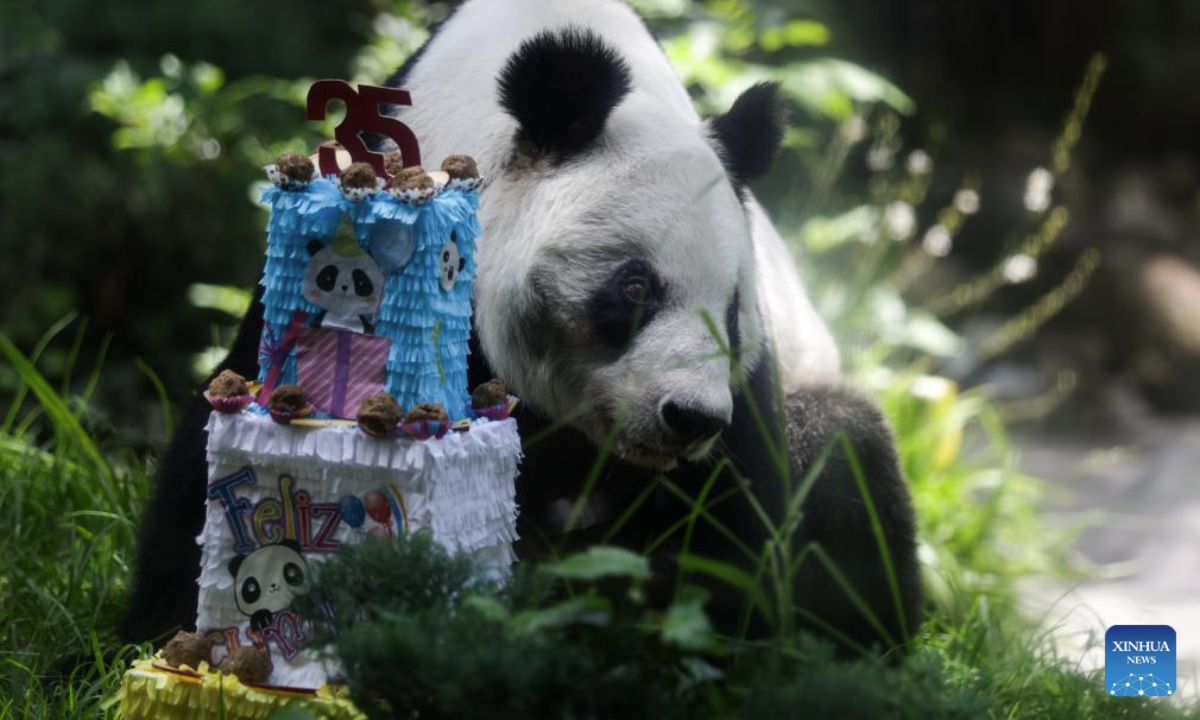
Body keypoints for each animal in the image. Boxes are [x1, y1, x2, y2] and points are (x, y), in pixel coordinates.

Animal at [122, 0, 921, 654]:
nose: (690, 418)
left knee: (847, 457)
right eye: (635, 287)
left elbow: (744, 550)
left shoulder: (750, 390)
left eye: (730, 311)